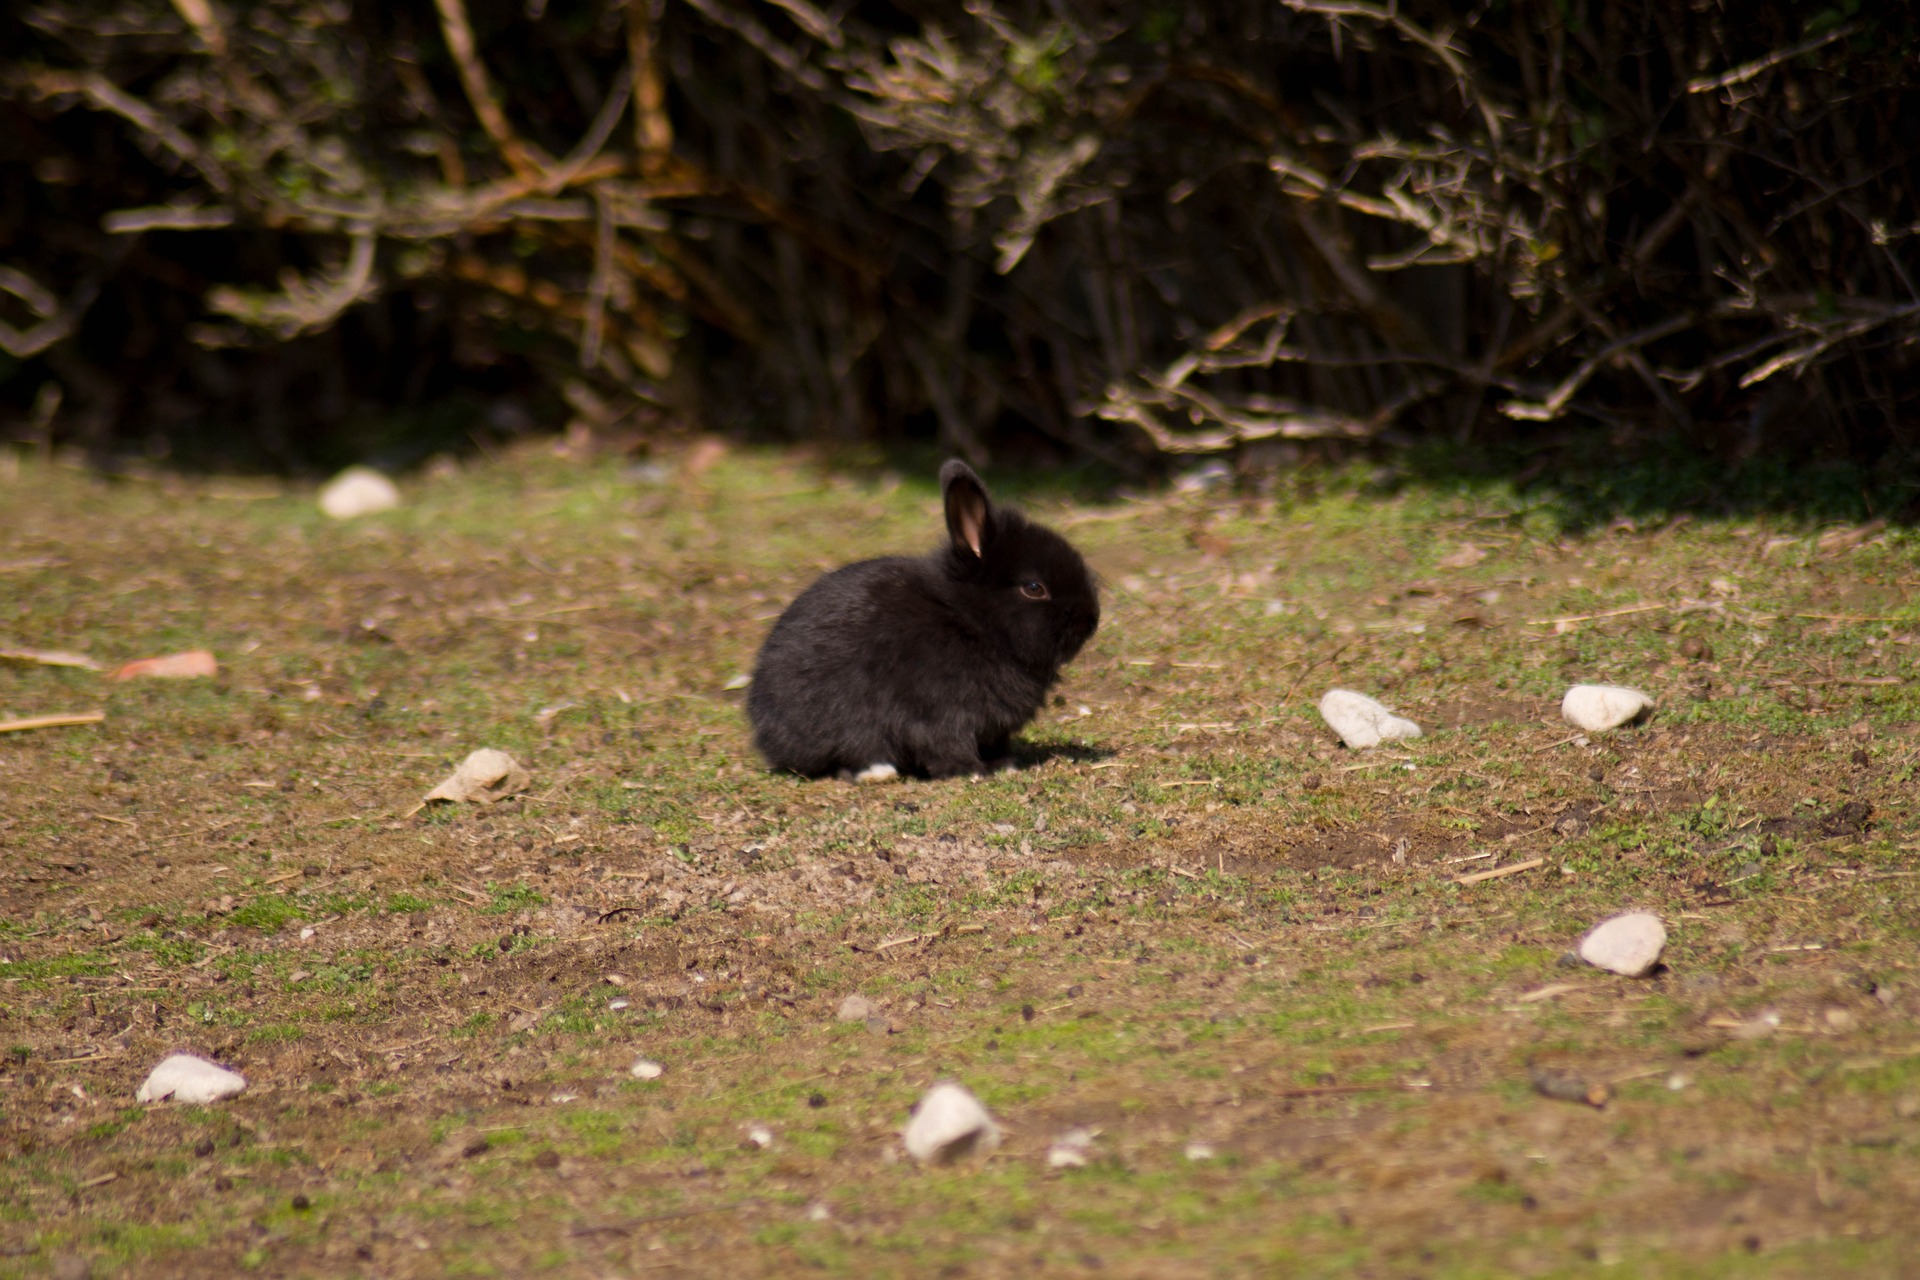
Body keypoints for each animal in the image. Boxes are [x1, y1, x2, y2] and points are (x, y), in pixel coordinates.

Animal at [744, 460, 1098, 782]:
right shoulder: (942, 713)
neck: (971, 621)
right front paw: (972, 771)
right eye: (1034, 588)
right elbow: (945, 744)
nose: (1091, 621)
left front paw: (1002, 763)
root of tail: (764, 726)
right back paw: (877, 771)